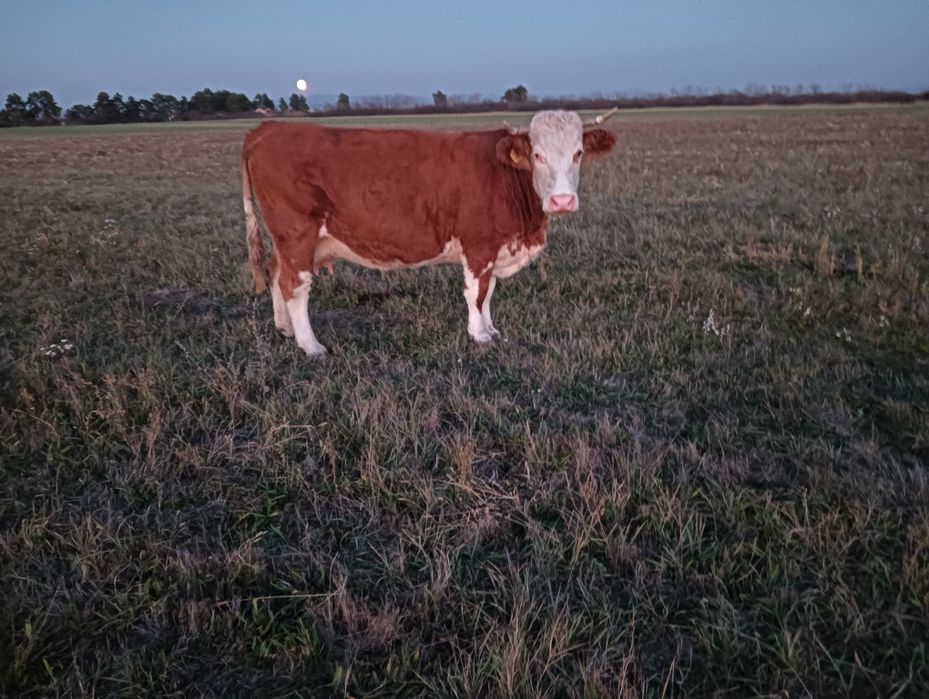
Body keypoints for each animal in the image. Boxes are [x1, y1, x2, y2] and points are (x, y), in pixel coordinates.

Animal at [241, 109, 617, 356]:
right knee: (295, 286)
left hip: (286, 240)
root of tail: (268, 128)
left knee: (276, 274)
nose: (562, 200)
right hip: (297, 234)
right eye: (537, 155)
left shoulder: (494, 248)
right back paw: (311, 345)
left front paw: (491, 328)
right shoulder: (478, 245)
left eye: (578, 153)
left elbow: (489, 292)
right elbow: (476, 293)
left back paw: (285, 329)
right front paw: (479, 335)